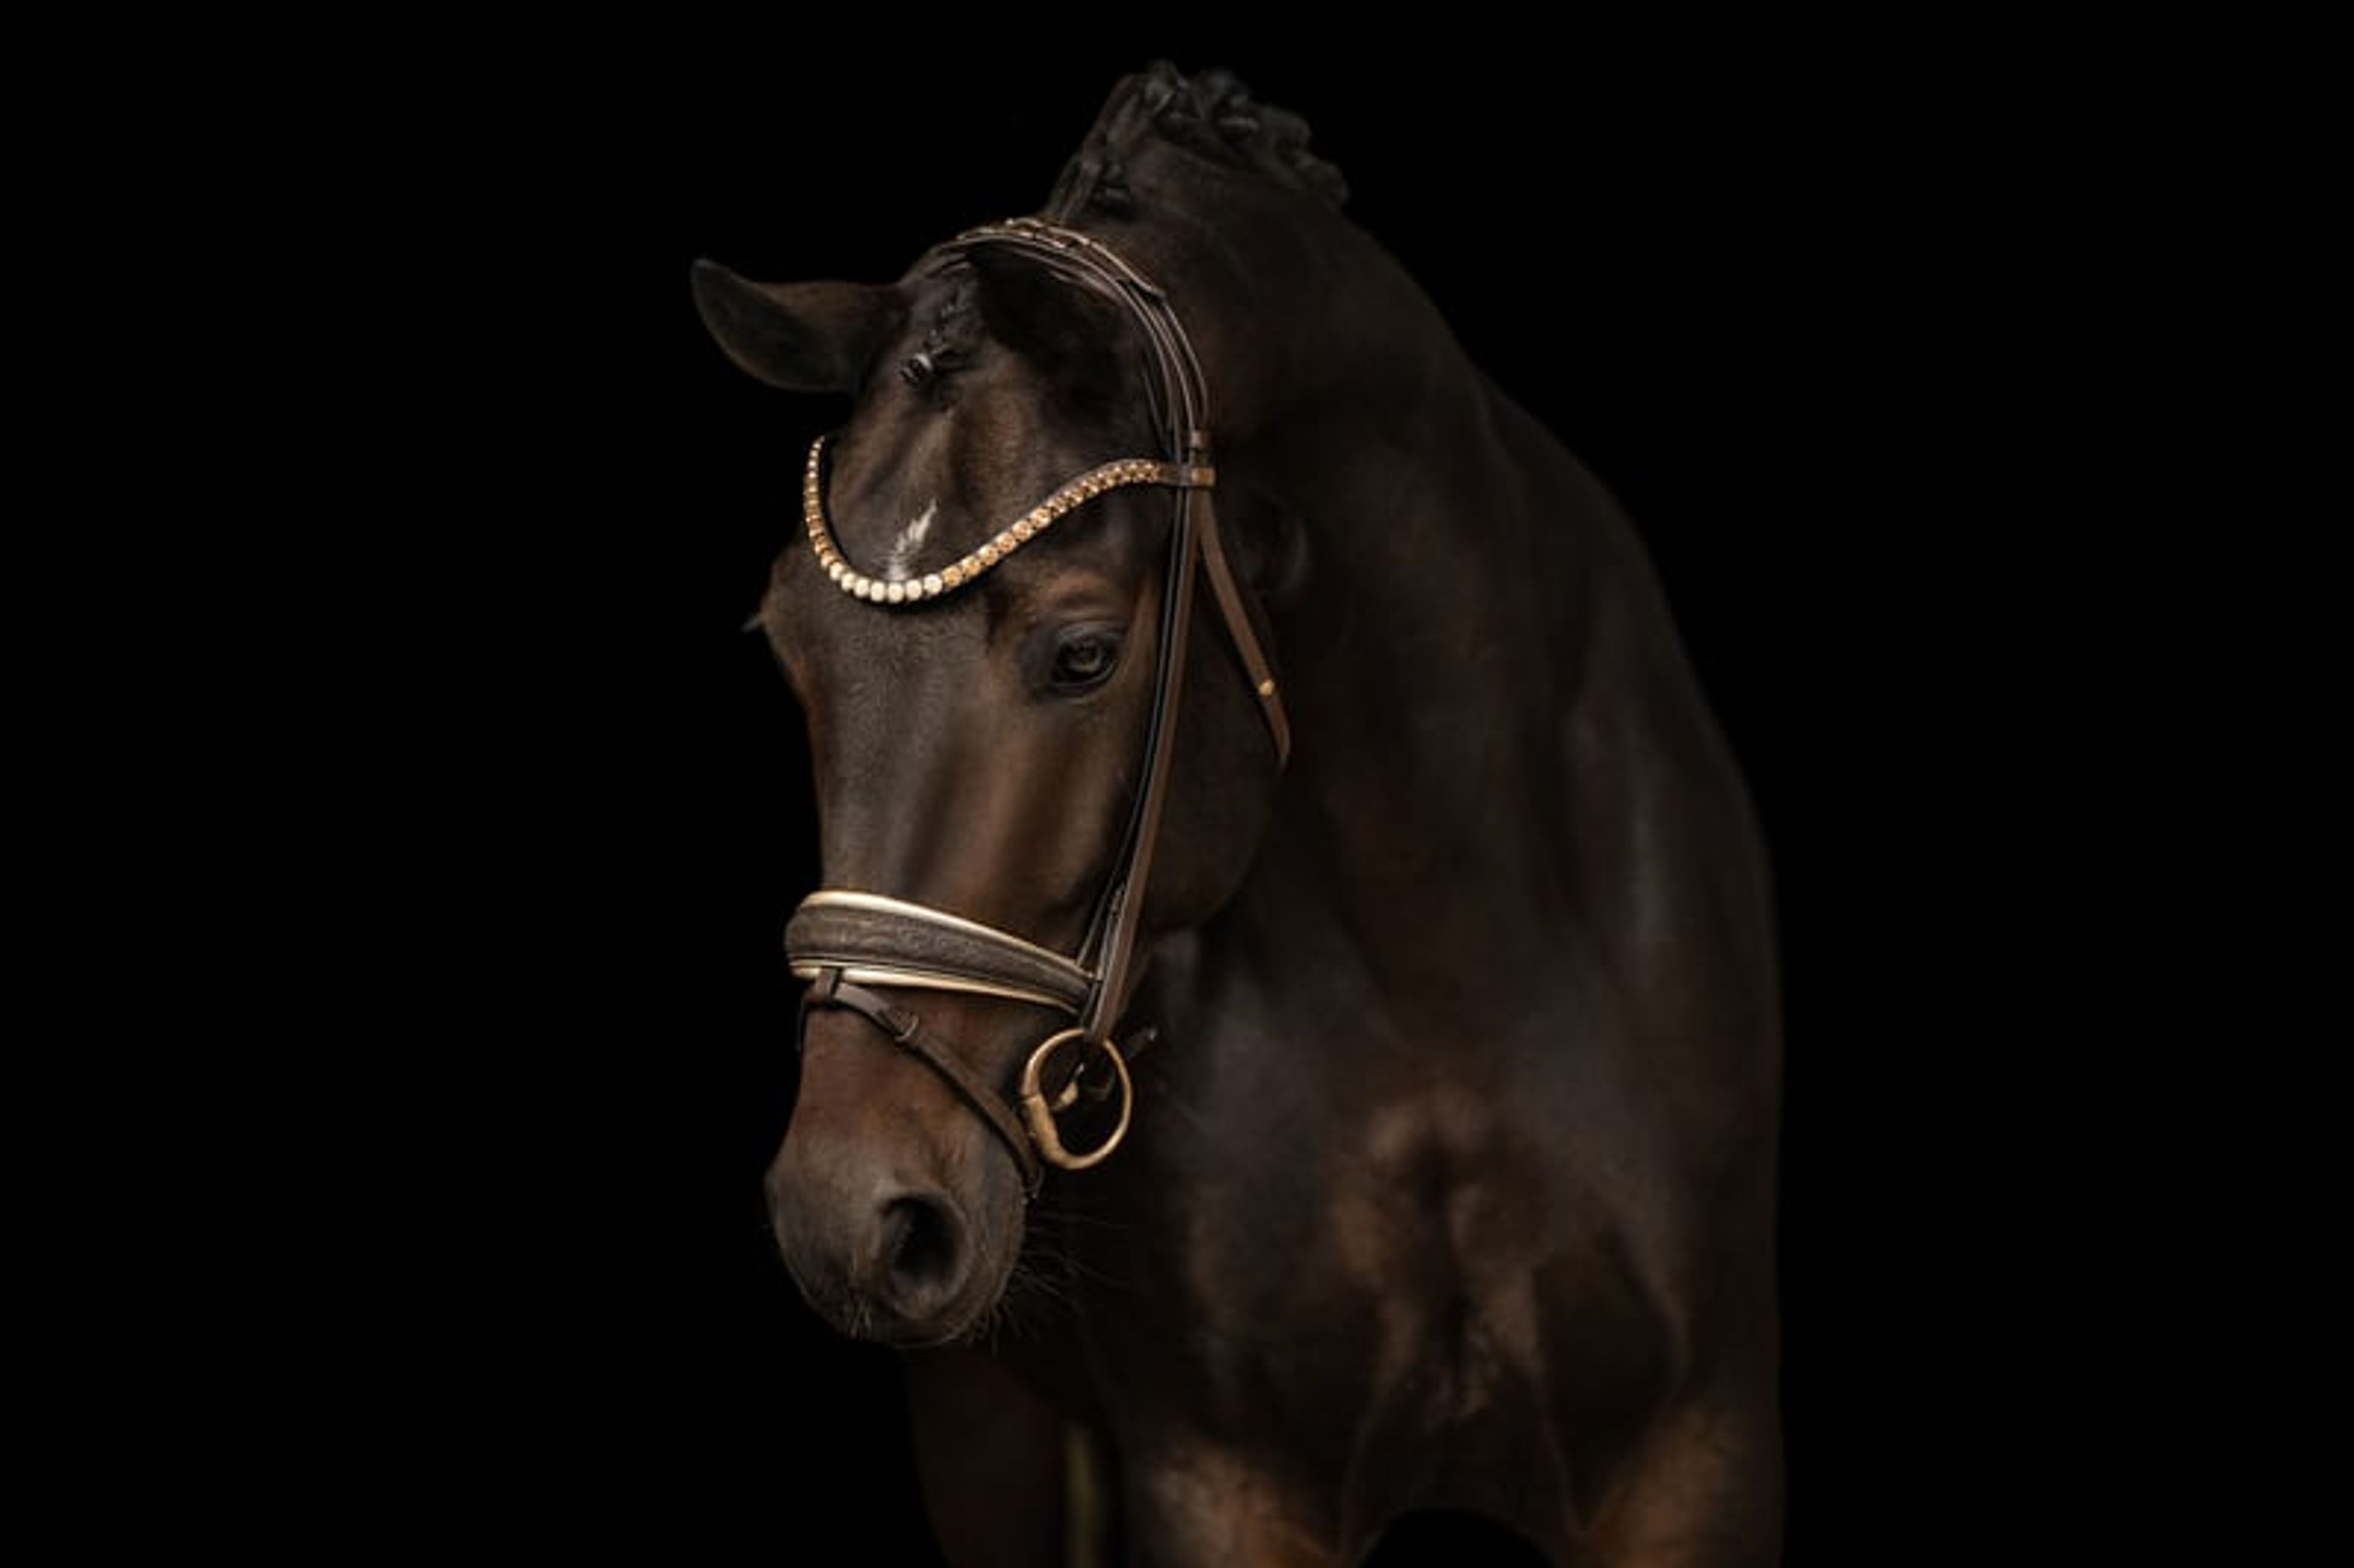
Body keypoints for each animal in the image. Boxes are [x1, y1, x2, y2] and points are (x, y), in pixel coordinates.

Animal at [691, 62, 1783, 1566]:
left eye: (1083, 653)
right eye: (784, 646)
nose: (847, 1212)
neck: (1448, 965)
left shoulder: (1695, 1458)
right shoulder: (1226, 1480)